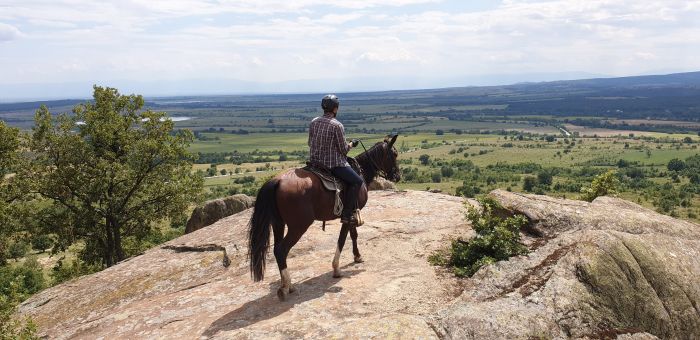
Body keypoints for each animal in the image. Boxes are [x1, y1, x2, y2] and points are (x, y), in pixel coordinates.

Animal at [247, 134, 400, 302]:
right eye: (394, 154)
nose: (397, 176)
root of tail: (277, 181)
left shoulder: (352, 214)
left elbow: (354, 235)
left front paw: (357, 256)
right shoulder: (347, 216)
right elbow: (342, 239)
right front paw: (337, 268)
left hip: (278, 223)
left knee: (276, 249)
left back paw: (286, 284)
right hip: (298, 226)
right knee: (281, 250)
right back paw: (287, 287)